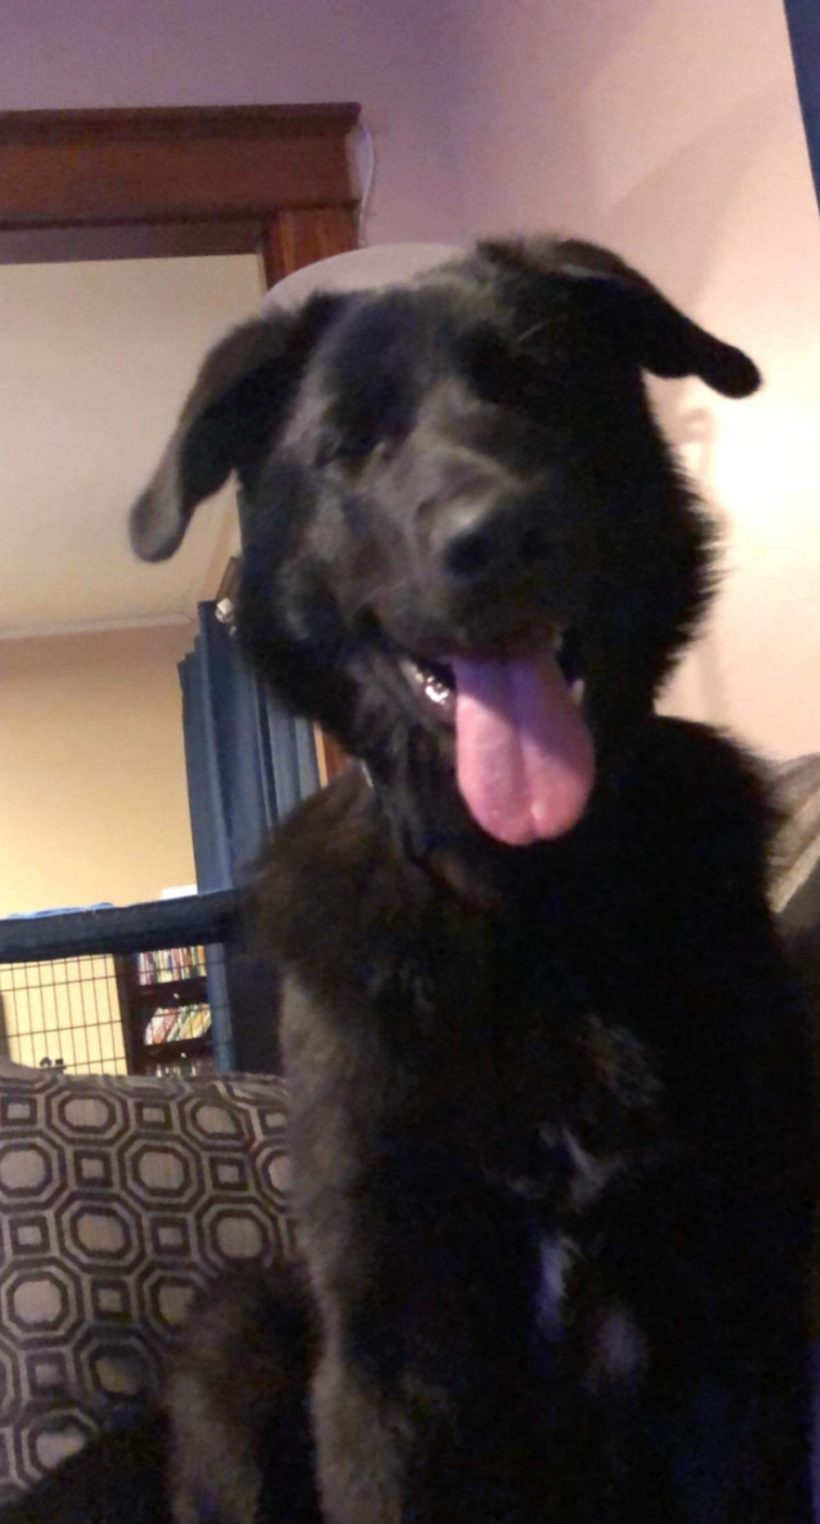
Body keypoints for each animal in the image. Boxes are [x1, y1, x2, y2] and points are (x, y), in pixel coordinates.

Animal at [5, 238, 814, 1522]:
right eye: (350, 444)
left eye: (542, 384)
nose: (495, 538)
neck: (526, 897)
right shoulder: (390, 1354)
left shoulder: (735, 1329)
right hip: (238, 1335)